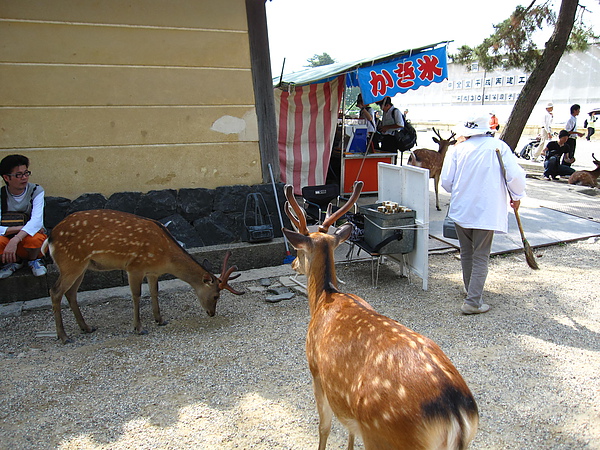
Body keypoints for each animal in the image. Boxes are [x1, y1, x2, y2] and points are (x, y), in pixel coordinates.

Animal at [42, 209, 244, 342]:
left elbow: (155, 292)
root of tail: (50, 237)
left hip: (81, 266)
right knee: (55, 291)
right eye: (216, 295)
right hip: (71, 262)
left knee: (70, 293)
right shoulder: (134, 266)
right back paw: (64, 336)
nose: (211, 313)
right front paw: (139, 328)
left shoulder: (152, 271)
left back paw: (86, 327)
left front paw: (160, 320)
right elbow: (137, 295)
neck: (165, 257)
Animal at [282, 181, 478, 448]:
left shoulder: (316, 372)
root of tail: (455, 415)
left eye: (298, 250)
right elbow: (350, 431)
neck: (324, 299)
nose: (292, 264)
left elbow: (324, 427)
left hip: (383, 434)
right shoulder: (348, 407)